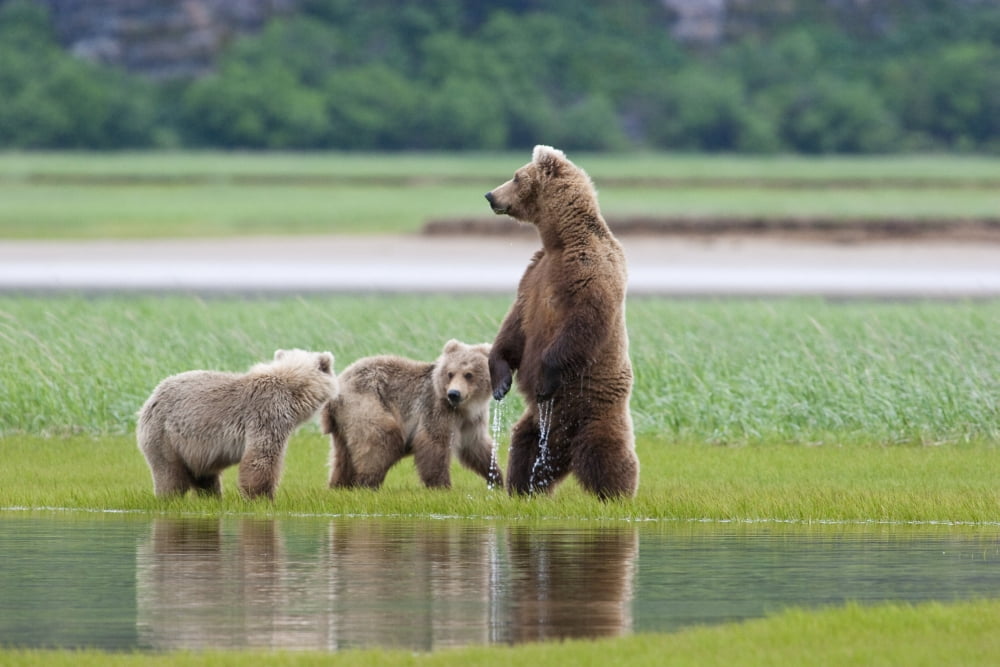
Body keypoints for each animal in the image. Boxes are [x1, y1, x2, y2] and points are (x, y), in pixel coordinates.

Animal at [137, 349, 338, 499]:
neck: (293, 392)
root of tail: (149, 399)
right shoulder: (267, 414)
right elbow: (261, 456)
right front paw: (262, 497)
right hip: (164, 435)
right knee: (169, 473)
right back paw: (169, 497)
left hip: (194, 448)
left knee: (204, 476)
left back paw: (213, 497)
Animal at [320, 339, 502, 490]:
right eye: (450, 373)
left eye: (469, 374)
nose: (454, 394)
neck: (465, 408)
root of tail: (338, 385)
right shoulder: (438, 410)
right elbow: (434, 443)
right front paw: (441, 486)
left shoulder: (472, 420)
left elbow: (476, 446)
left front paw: (497, 478)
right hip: (366, 402)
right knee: (381, 438)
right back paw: (367, 483)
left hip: (344, 421)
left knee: (343, 455)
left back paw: (340, 484)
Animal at [484, 145, 639, 500]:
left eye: (515, 176)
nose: (490, 195)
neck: (561, 240)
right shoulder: (534, 276)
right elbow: (515, 326)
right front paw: (500, 380)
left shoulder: (589, 270)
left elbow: (585, 321)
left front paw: (544, 378)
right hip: (541, 423)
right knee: (525, 446)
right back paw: (523, 488)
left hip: (594, 404)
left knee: (606, 451)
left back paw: (617, 494)